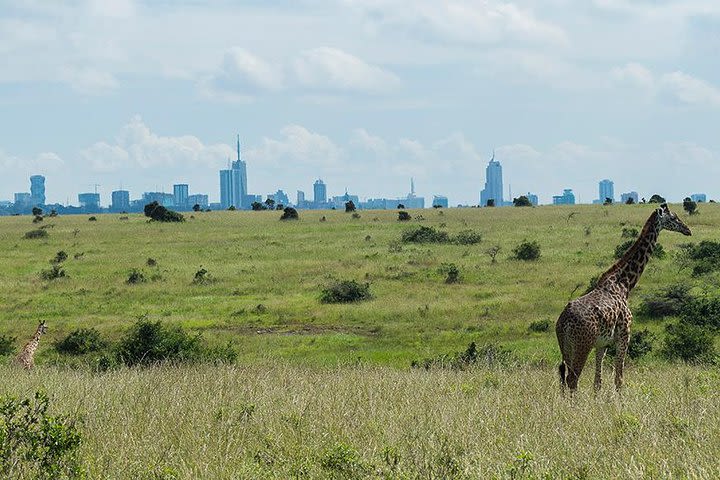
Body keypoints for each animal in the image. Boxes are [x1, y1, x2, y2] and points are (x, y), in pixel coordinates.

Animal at [556, 204, 692, 392]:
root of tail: (564, 322)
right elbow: (619, 379)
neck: (624, 284)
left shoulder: (602, 344)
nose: (688, 230)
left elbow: (598, 382)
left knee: (564, 379)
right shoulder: (624, 335)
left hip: (566, 347)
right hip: (582, 345)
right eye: (673, 218)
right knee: (572, 380)